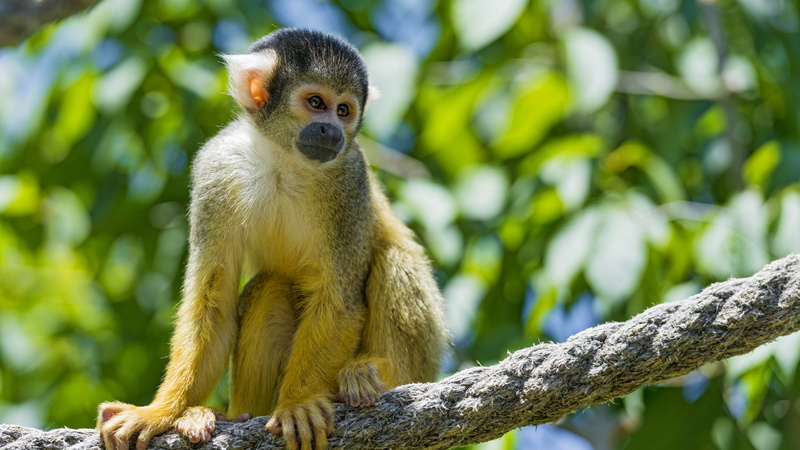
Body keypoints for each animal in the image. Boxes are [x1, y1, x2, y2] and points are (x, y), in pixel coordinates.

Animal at [96, 28, 447, 450]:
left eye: (344, 110)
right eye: (316, 103)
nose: (332, 130)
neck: (285, 160)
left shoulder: (350, 177)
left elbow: (338, 301)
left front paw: (297, 403)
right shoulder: (215, 169)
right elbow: (212, 304)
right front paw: (158, 412)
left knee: (395, 257)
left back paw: (375, 378)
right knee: (270, 287)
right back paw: (230, 415)